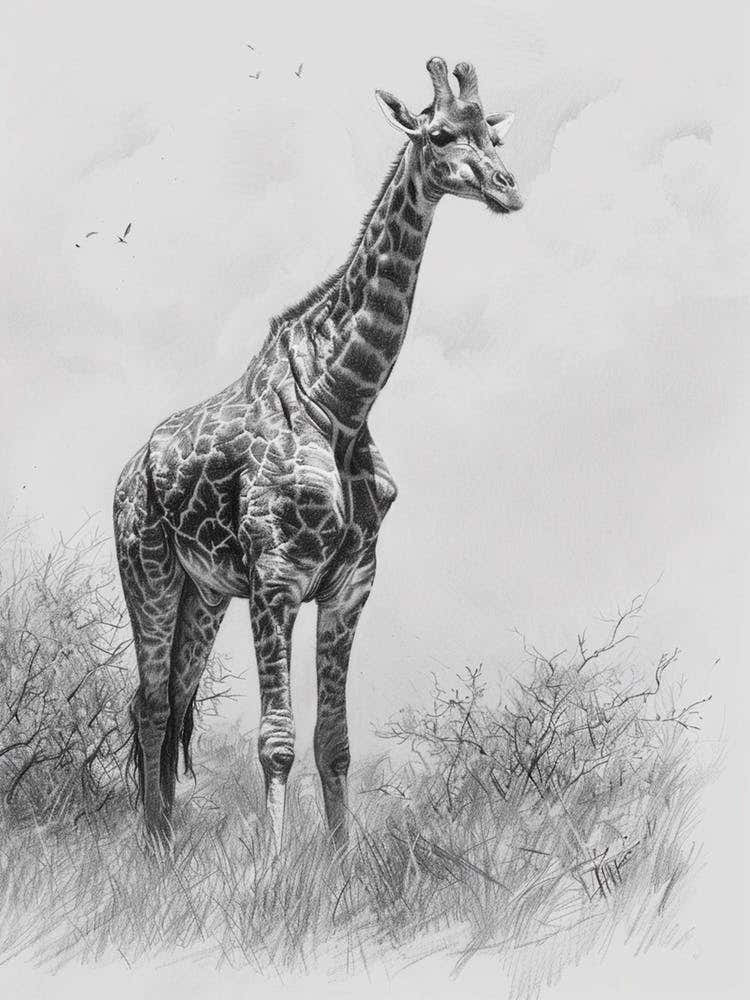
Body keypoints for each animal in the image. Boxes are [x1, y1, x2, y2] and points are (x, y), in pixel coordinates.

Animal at [113, 57, 522, 853]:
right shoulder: (276, 578)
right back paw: (152, 850)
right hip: (147, 571)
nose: (507, 186)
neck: (343, 399)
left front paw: (339, 861)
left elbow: (334, 742)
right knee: (149, 706)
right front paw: (272, 866)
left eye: (492, 133)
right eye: (438, 134)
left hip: (204, 592)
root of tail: (127, 473)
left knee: (175, 699)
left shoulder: (349, 586)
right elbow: (276, 738)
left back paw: (168, 842)